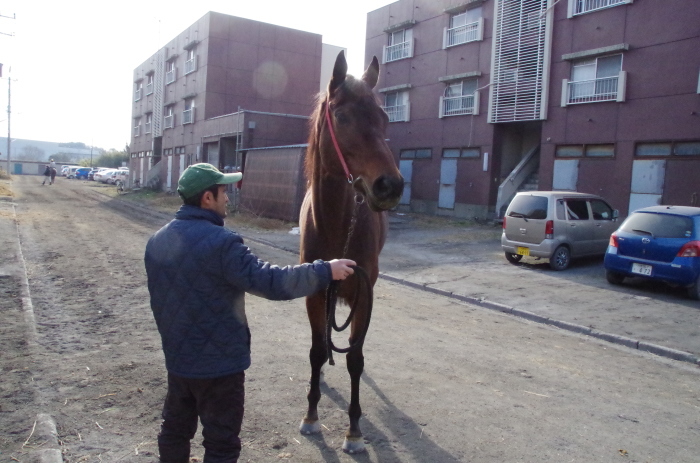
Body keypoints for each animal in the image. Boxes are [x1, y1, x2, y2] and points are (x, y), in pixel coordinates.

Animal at [296, 51, 404, 454]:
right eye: (341, 117)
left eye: (385, 118)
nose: (389, 185)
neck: (335, 224)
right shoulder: (314, 291)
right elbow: (315, 350)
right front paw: (311, 415)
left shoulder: (363, 294)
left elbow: (355, 359)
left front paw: (354, 431)